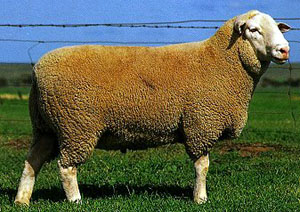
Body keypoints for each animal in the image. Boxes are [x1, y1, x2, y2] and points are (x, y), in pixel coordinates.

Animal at [14, 10, 290, 205]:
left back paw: (22, 200)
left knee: (32, 162)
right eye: (253, 30)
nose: (284, 50)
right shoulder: (201, 124)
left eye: (277, 27)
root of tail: (37, 71)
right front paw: (200, 198)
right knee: (66, 167)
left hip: (48, 126)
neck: (221, 61)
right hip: (76, 125)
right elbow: (203, 166)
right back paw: (76, 201)